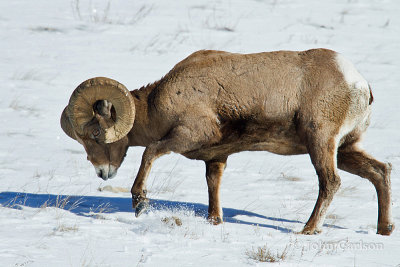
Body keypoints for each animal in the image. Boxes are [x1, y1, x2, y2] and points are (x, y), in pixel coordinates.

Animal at [61, 49, 394, 236]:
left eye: (94, 134)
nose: (103, 172)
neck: (158, 104)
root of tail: (359, 84)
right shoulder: (216, 157)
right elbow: (213, 185)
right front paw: (215, 221)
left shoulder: (187, 135)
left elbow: (150, 153)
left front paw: (140, 203)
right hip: (346, 149)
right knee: (381, 171)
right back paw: (384, 229)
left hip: (320, 142)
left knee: (330, 182)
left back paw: (308, 230)